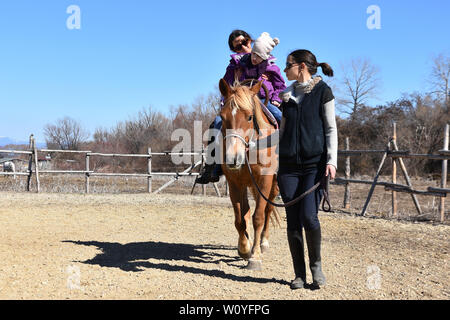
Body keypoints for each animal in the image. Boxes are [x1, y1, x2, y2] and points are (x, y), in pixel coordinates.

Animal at [217, 78, 278, 270]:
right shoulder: (235, 182)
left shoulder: (265, 181)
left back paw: (263, 242)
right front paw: (244, 248)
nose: (232, 158)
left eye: (250, 116)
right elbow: (239, 219)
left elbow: (258, 217)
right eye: (222, 117)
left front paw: (255, 256)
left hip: (274, 185)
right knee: (245, 212)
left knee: (268, 209)